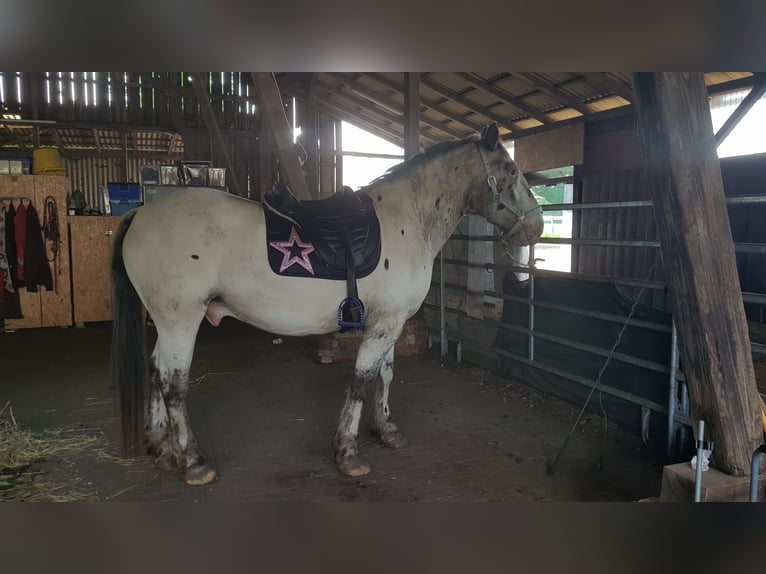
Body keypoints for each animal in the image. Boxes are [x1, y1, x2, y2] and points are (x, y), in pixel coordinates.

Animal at [111, 123, 544, 485]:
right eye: (509, 171)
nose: (536, 227)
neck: (406, 220)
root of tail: (140, 215)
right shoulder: (382, 326)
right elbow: (361, 381)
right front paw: (348, 453)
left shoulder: (390, 323)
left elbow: (385, 376)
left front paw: (386, 431)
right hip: (181, 321)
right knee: (173, 385)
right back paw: (193, 462)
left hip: (167, 324)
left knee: (155, 372)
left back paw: (161, 449)